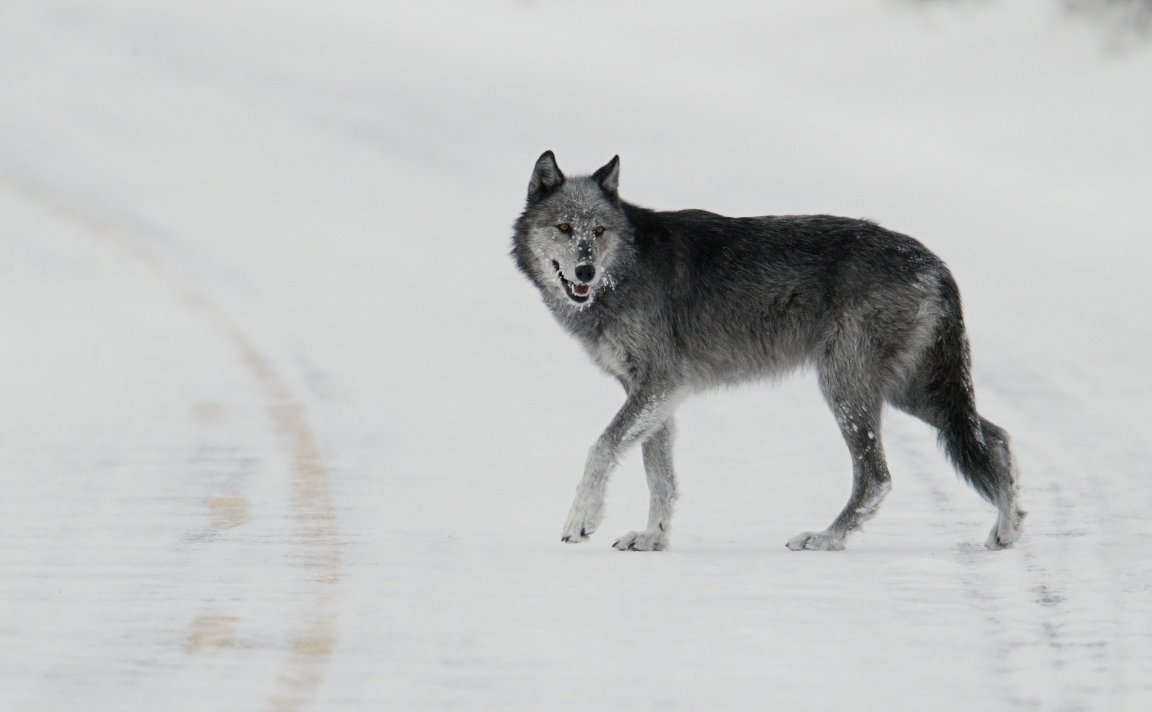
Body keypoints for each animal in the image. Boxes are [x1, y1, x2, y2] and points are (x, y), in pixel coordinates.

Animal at [511, 151, 1024, 552]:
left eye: (598, 231)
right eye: (564, 227)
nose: (585, 271)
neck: (627, 268)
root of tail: (933, 262)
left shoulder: (658, 384)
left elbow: (601, 447)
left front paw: (581, 520)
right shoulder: (654, 393)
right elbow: (660, 475)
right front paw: (653, 538)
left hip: (849, 389)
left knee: (878, 477)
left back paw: (824, 538)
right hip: (910, 393)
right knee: (996, 437)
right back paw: (1008, 529)